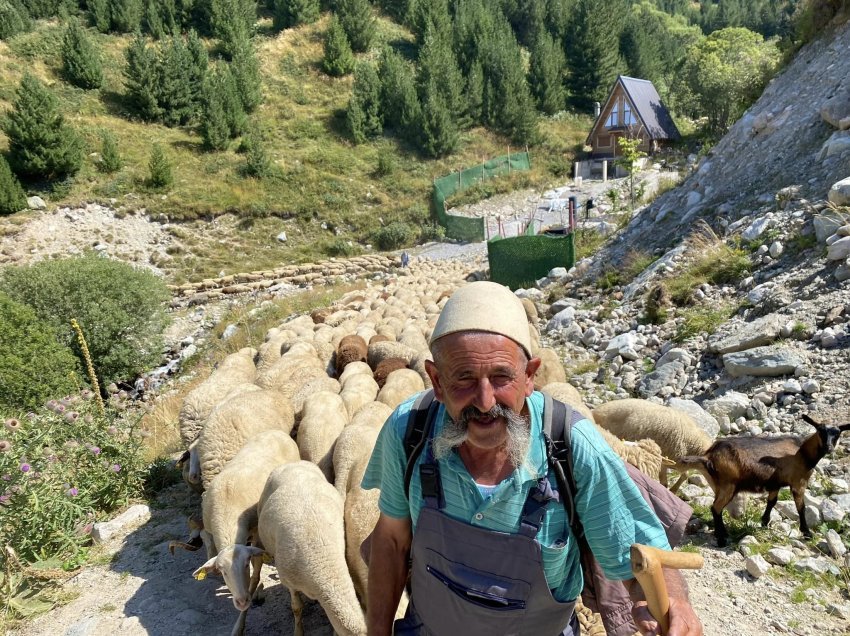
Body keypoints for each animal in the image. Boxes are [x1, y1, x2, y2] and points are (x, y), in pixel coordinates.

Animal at [676, 412, 848, 548]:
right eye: (820, 431)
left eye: (837, 433)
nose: (828, 448)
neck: (802, 453)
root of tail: (709, 456)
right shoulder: (798, 482)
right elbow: (801, 507)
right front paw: (807, 533)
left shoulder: (775, 484)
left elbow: (772, 502)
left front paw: (764, 522)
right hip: (729, 485)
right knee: (715, 508)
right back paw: (721, 540)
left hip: (720, 485)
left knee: (716, 507)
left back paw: (723, 534)